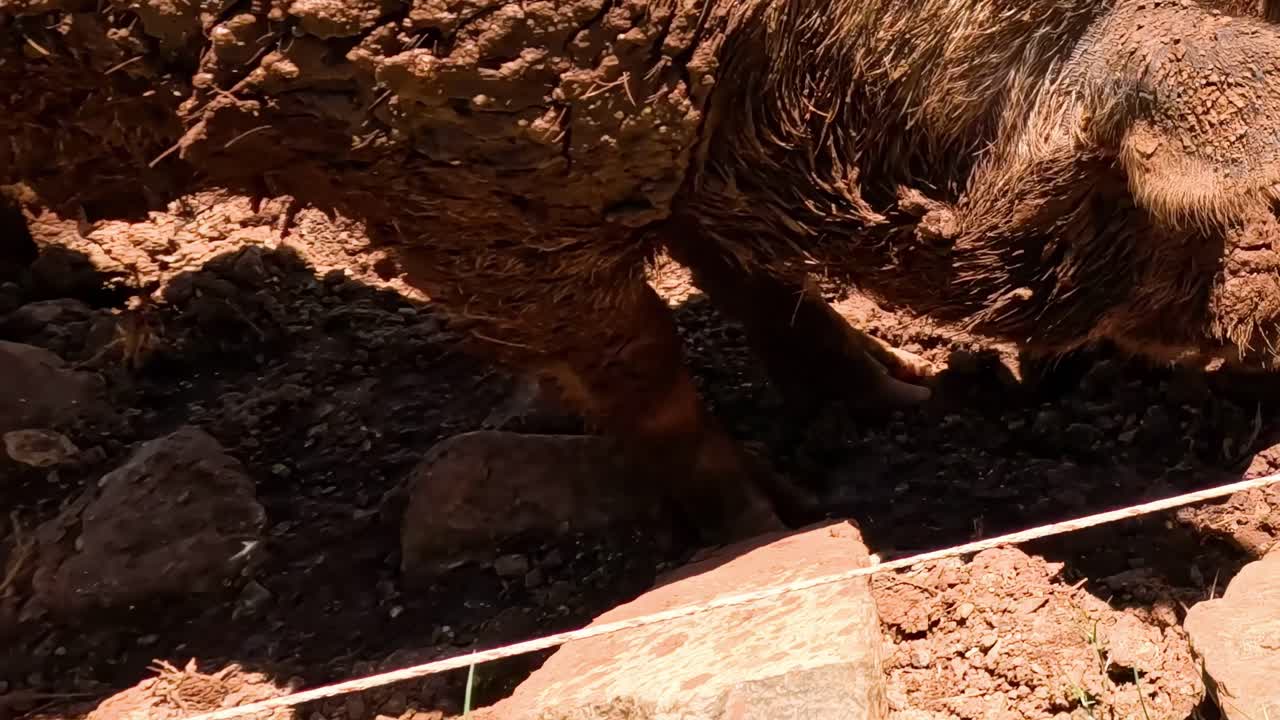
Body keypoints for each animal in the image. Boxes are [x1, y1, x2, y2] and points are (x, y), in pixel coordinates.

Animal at [3, 0, 1280, 540]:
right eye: (1258, 199)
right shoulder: (464, 178)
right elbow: (639, 359)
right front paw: (772, 522)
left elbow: (741, 271)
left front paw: (896, 398)